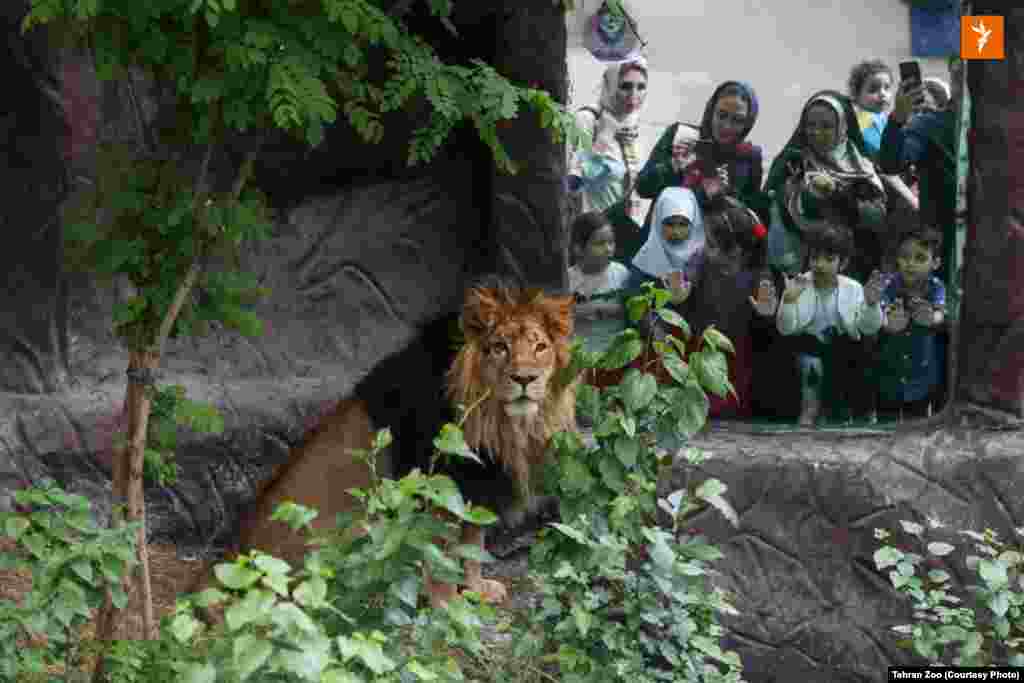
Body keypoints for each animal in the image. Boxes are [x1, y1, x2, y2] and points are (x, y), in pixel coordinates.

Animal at [190, 276, 577, 610]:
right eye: (500, 347)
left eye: (540, 347)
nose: (526, 379)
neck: (499, 421)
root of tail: (231, 560)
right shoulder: (438, 483)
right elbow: (441, 551)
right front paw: (447, 606)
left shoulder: (473, 482)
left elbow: (471, 544)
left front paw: (476, 589)